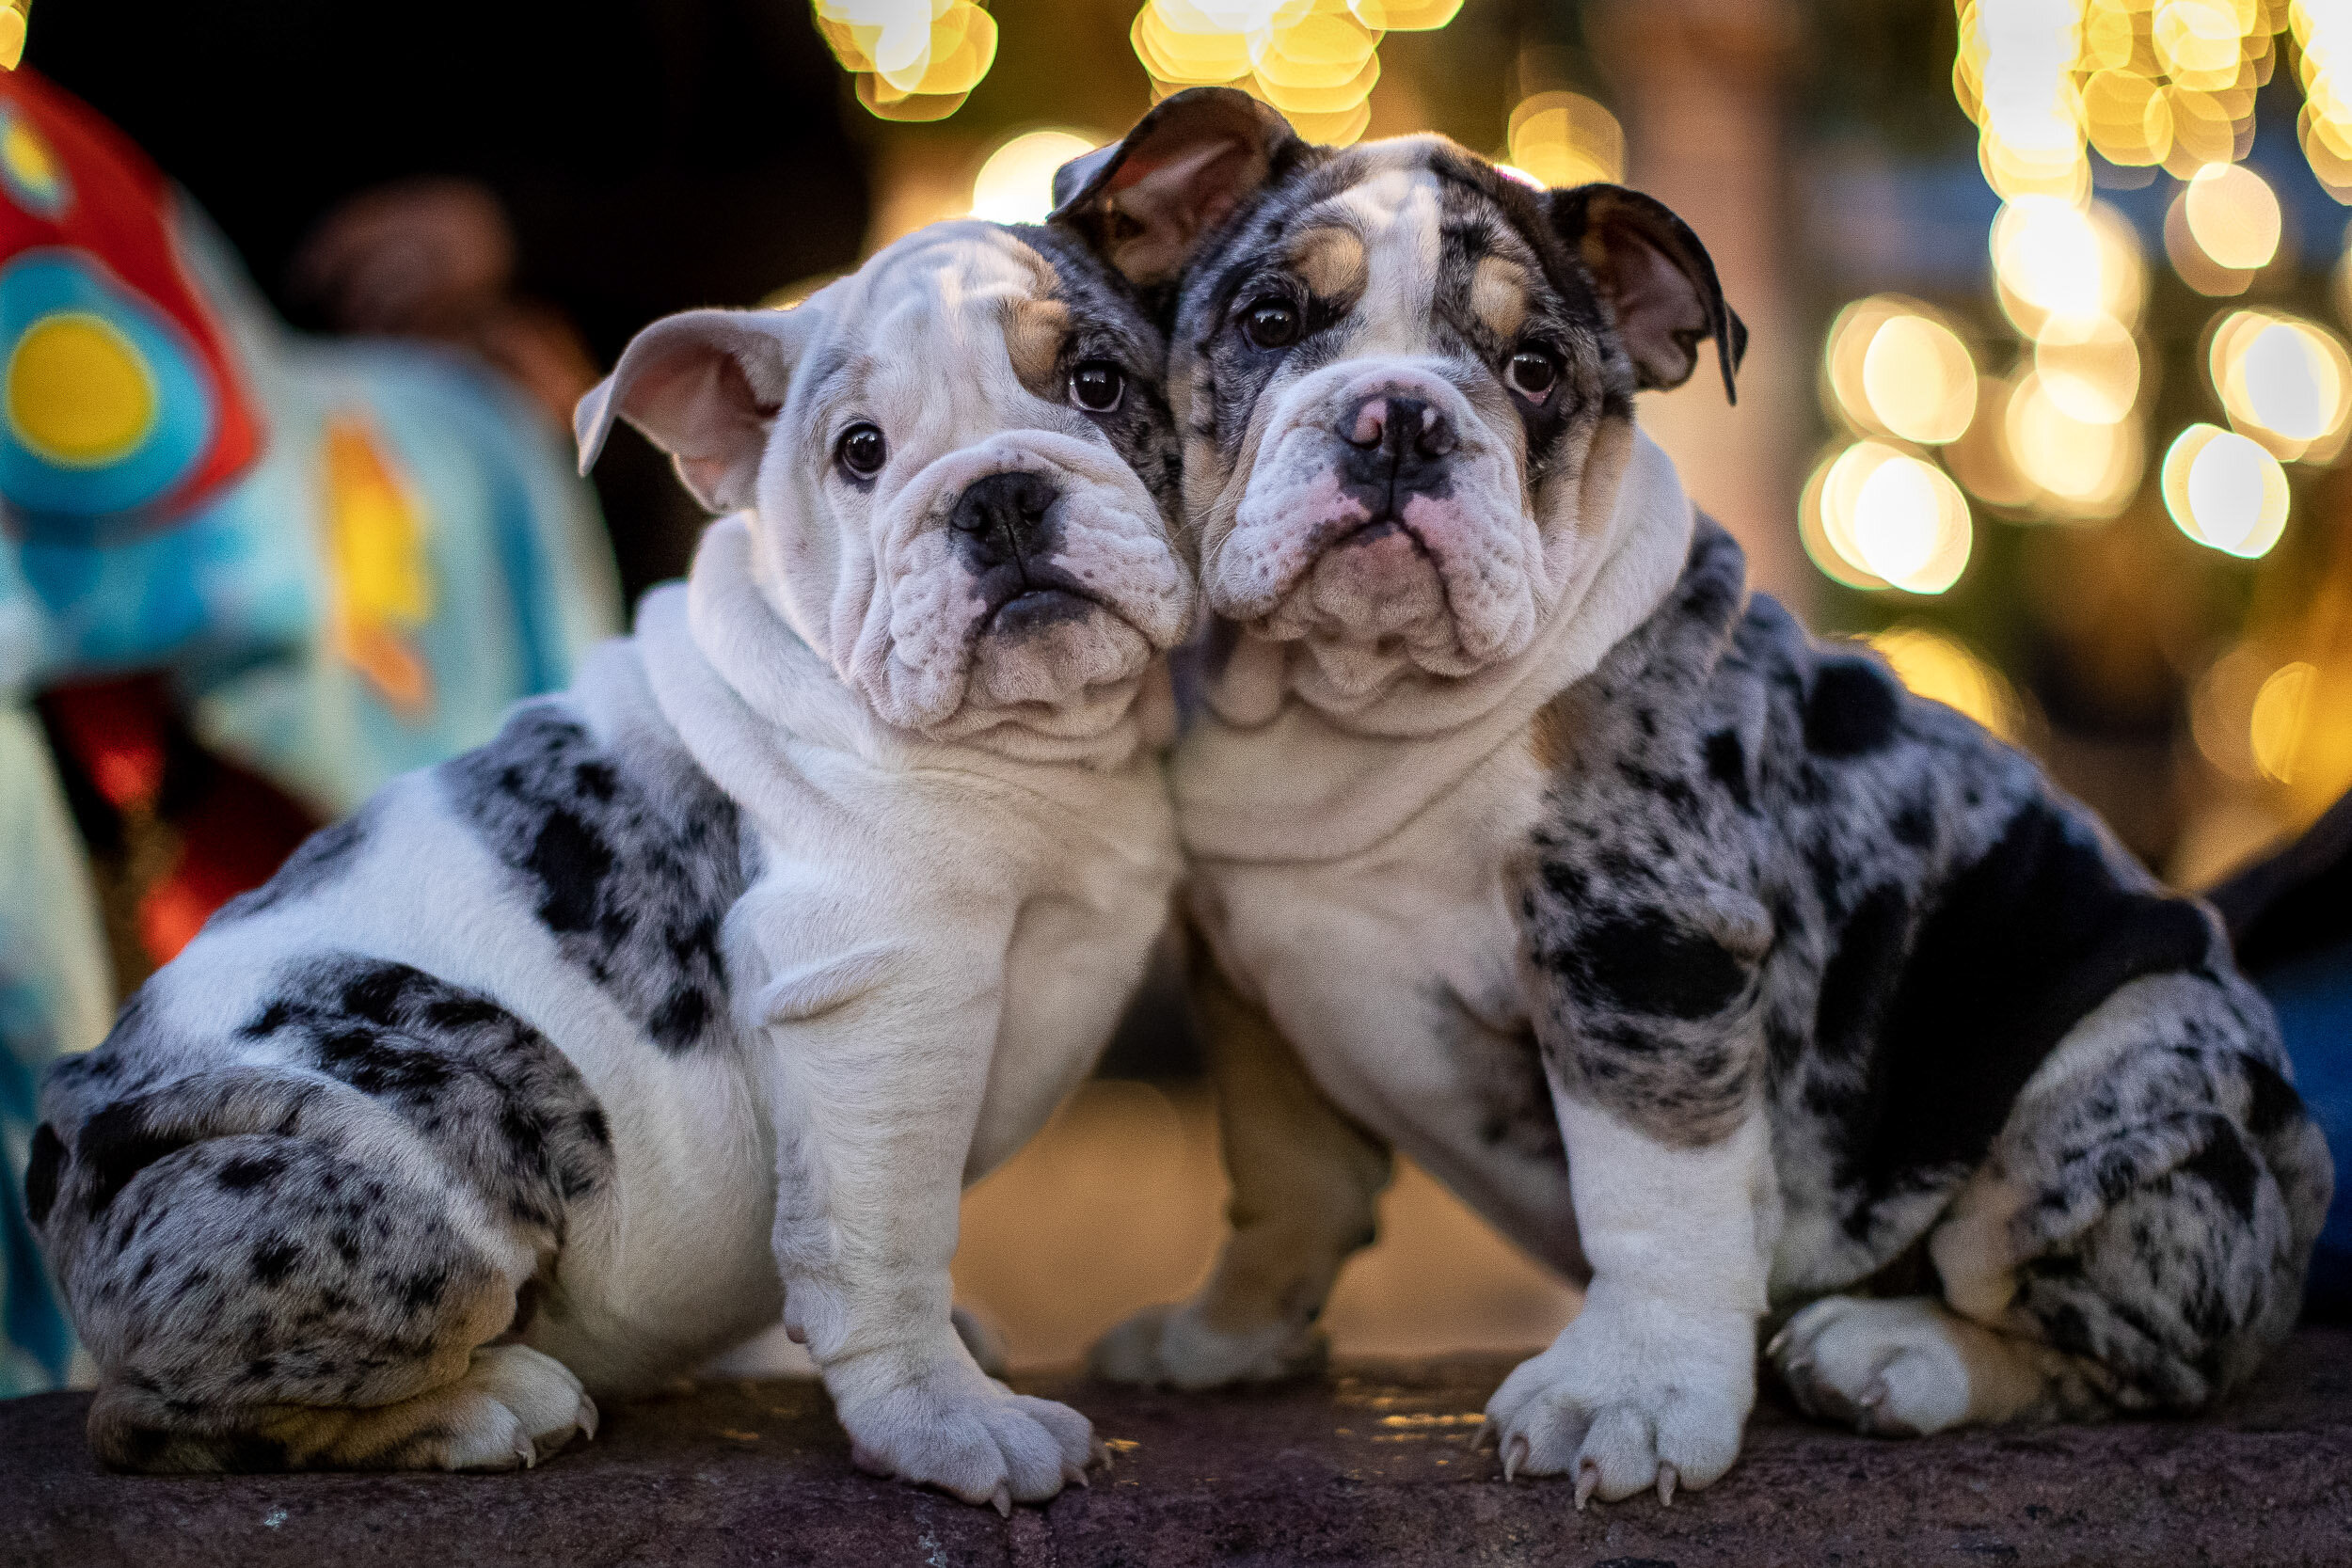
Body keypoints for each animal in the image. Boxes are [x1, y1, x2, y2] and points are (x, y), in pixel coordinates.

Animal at [18, 214, 1195, 1504]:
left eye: (1096, 383)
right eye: (861, 453)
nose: (997, 497)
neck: (1047, 740)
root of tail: (58, 1151)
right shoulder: (878, 989)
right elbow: (886, 1235)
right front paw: (946, 1420)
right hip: (441, 1151)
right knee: (148, 1414)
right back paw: (486, 1403)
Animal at [1063, 88, 2333, 1504]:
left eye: (1536, 371)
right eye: (1270, 321)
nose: (1400, 417)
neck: (1349, 700)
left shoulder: (1641, 938)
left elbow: (1656, 1192)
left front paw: (1626, 1390)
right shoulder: (1254, 964)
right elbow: (1287, 1177)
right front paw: (1225, 1335)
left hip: (2118, 1057)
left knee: (2147, 1350)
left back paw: (1900, 1350)